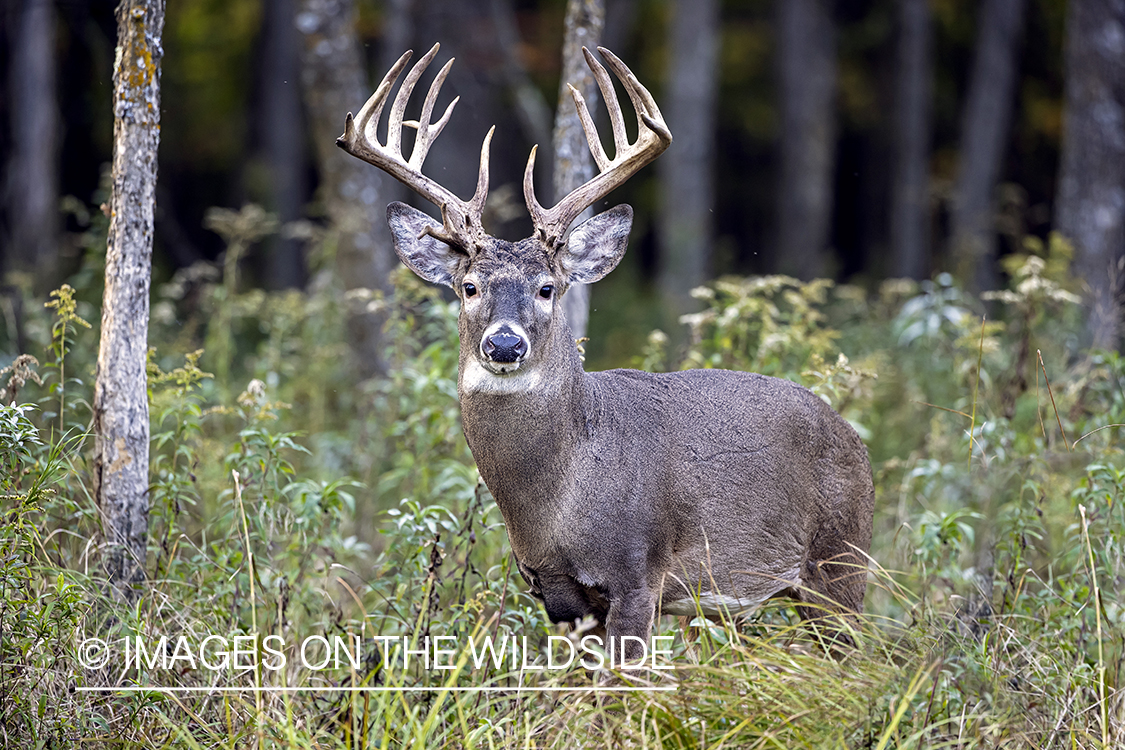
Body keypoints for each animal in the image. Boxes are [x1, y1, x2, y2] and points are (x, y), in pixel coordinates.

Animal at [337, 42, 873, 661]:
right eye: (468, 287)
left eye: (548, 288)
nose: (504, 342)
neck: (558, 503)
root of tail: (855, 436)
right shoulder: (557, 594)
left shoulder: (640, 572)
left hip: (840, 562)